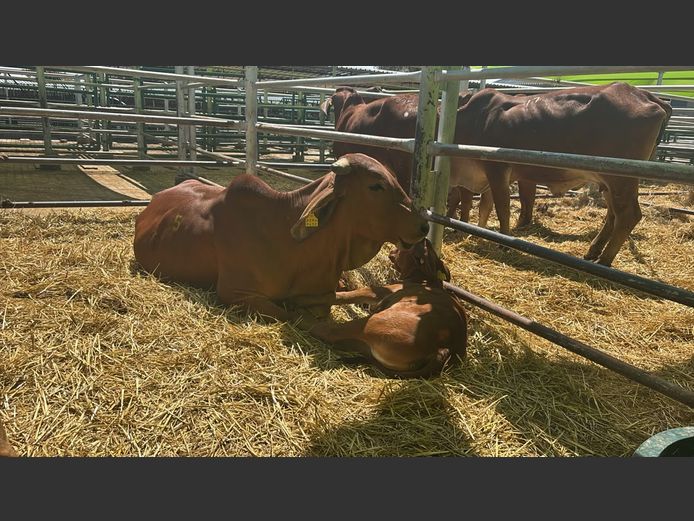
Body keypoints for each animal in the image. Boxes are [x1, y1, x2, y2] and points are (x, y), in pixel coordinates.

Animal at [292, 238, 468, 378]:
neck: (423, 279)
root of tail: (445, 347)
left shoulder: (379, 291)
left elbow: (345, 295)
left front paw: (304, 298)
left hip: (374, 323)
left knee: (329, 331)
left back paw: (295, 312)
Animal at [322, 83, 672, 266]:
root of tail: (643, 94)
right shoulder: (481, 177)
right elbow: (484, 206)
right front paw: (478, 232)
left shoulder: (497, 168)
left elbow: (501, 206)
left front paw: (503, 241)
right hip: (609, 180)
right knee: (614, 215)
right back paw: (593, 252)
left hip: (621, 178)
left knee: (628, 215)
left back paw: (604, 260)